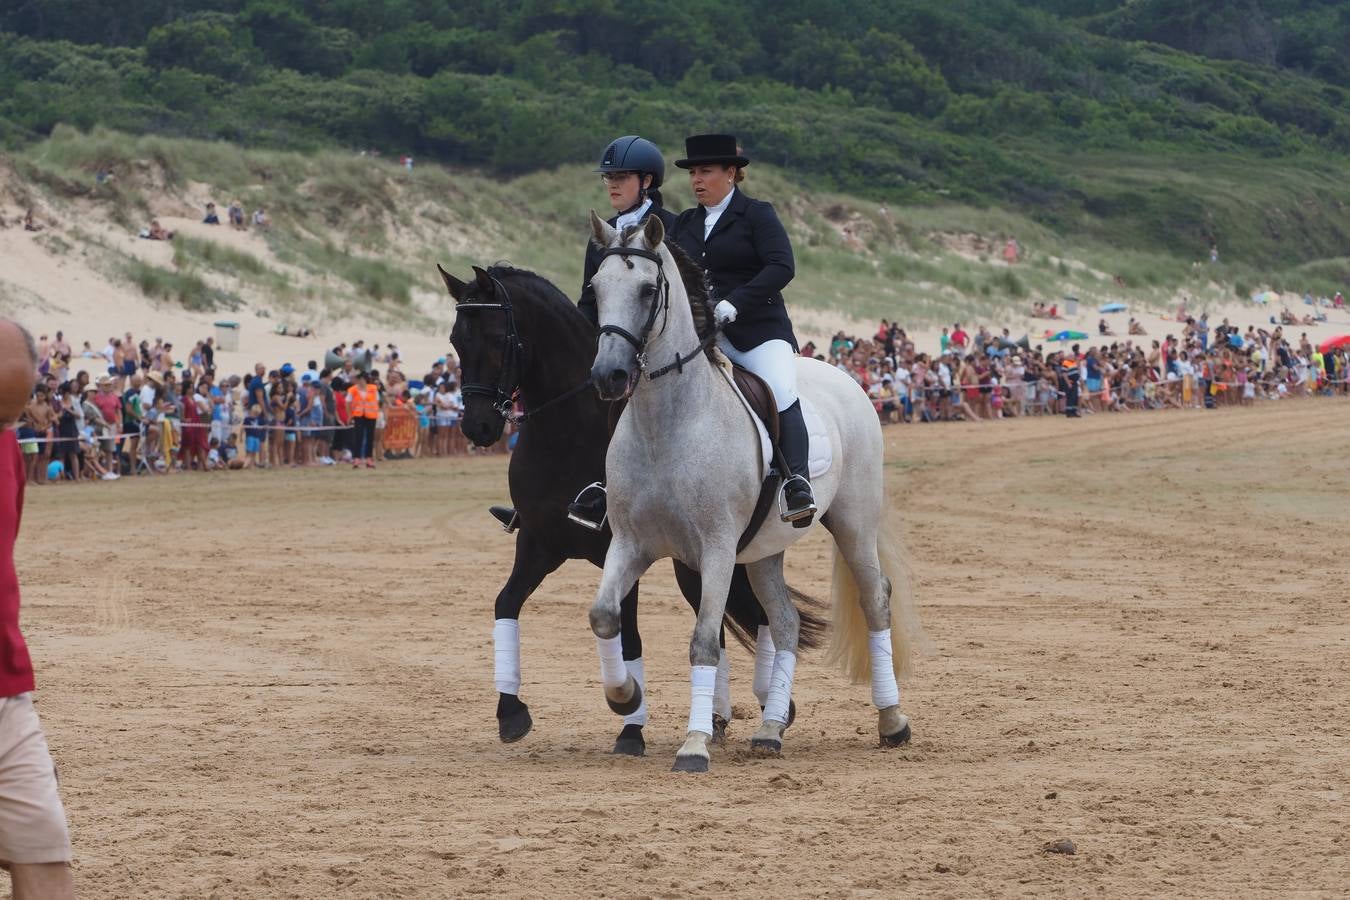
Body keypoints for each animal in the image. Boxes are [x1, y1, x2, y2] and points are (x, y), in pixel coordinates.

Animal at [585, 214, 923, 771]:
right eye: (596, 288)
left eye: (647, 289)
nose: (608, 376)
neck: (666, 423)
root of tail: (845, 380)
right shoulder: (631, 544)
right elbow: (604, 615)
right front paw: (624, 697)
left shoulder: (718, 548)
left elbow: (703, 641)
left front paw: (695, 743)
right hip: (766, 550)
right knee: (785, 621)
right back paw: (770, 729)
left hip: (853, 523)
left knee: (875, 599)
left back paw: (892, 721)